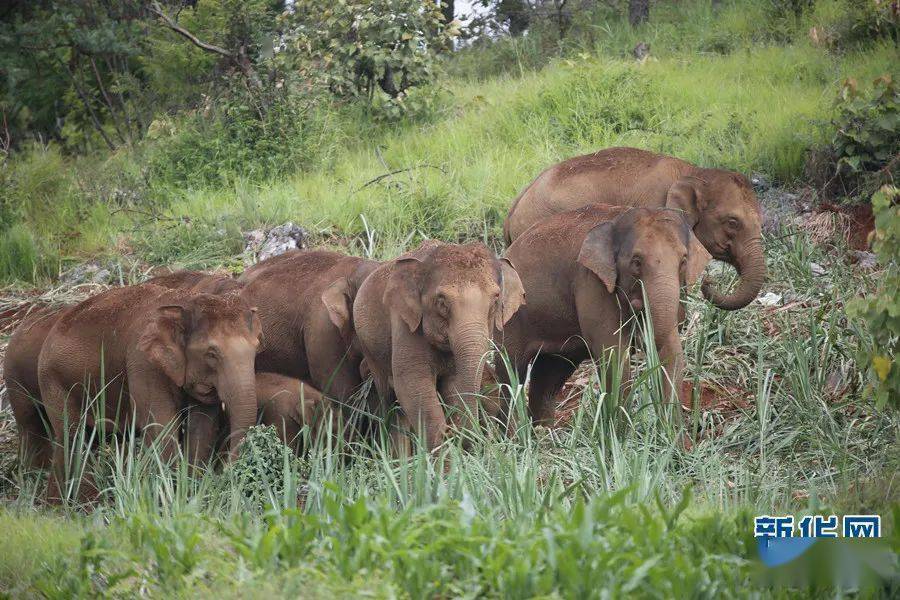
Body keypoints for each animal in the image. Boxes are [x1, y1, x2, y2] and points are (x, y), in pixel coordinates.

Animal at [39, 284, 264, 500]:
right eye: (211, 353)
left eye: (256, 349)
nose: (228, 473)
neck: (184, 301)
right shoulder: (143, 363)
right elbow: (161, 426)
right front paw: (168, 497)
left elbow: (202, 427)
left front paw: (191, 491)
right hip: (54, 383)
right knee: (72, 437)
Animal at [350, 239, 524, 450]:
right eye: (442, 302)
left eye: (496, 298)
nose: (457, 434)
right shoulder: (405, 324)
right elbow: (413, 385)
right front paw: (442, 451)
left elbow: (454, 385)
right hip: (370, 349)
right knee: (390, 399)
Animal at [500, 204, 712, 424]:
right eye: (636, 262)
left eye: (683, 261)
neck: (617, 217)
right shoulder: (592, 283)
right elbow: (614, 355)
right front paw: (620, 429)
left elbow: (672, 353)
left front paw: (671, 431)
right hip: (509, 320)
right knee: (509, 373)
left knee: (549, 374)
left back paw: (542, 430)